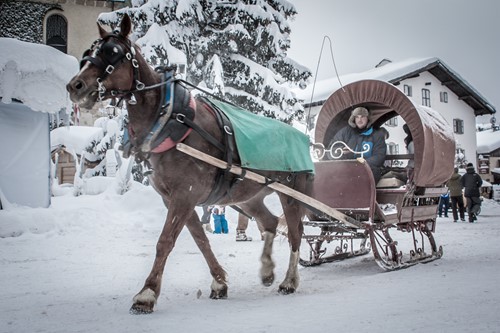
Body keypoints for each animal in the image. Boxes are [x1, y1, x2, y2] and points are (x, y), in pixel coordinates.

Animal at [64, 13, 310, 314]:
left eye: (113, 52)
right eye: (90, 51)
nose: (75, 86)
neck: (171, 118)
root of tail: (302, 136)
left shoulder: (184, 194)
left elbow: (165, 241)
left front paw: (147, 294)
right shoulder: (175, 198)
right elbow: (201, 240)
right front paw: (219, 283)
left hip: (292, 194)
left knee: (296, 232)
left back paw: (289, 280)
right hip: (249, 196)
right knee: (271, 223)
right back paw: (266, 270)